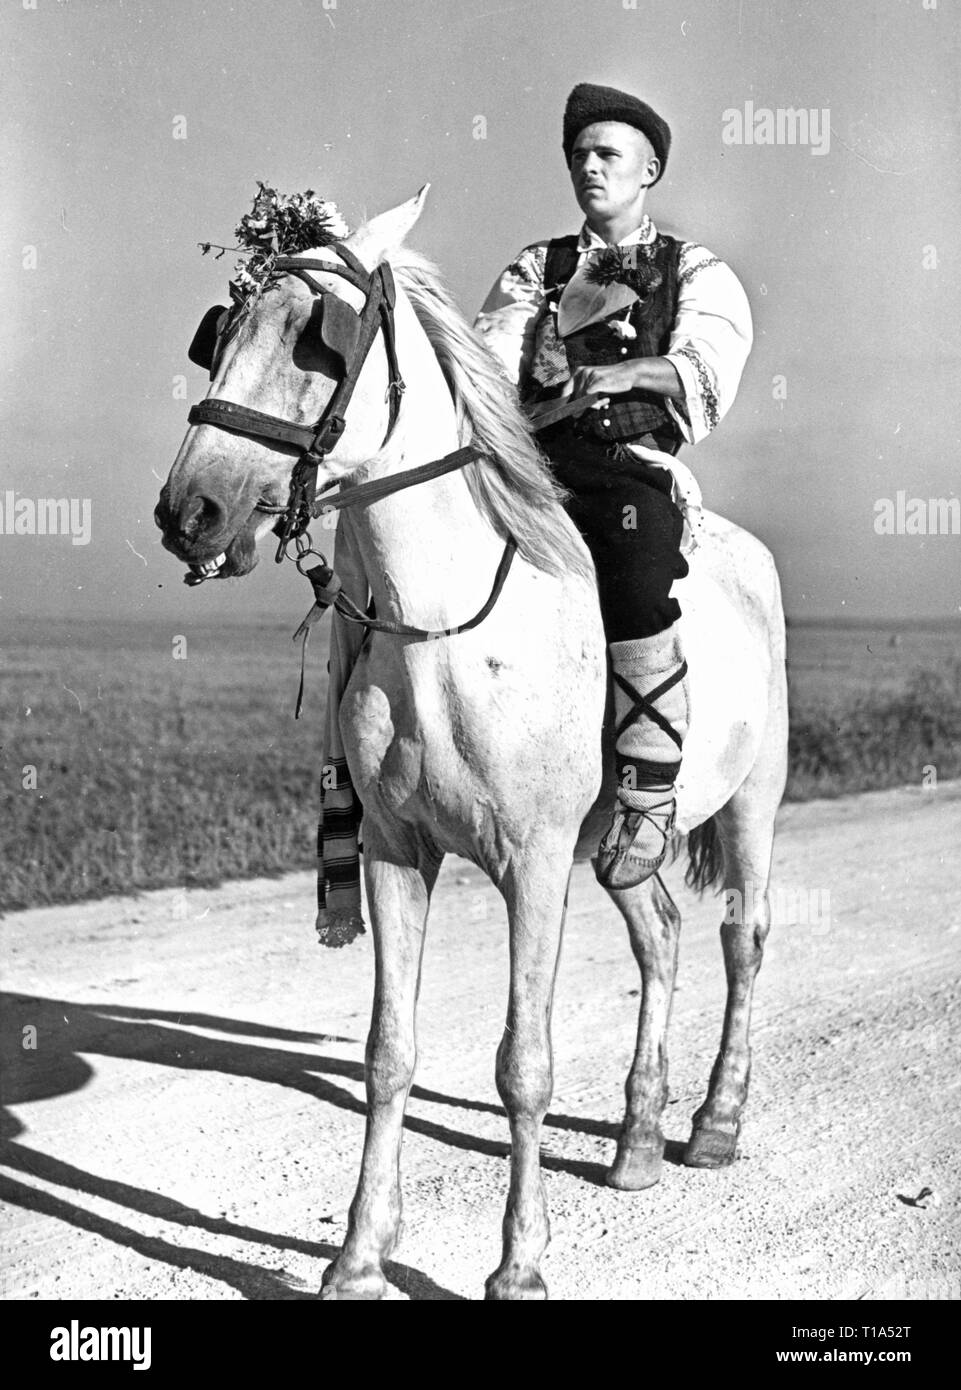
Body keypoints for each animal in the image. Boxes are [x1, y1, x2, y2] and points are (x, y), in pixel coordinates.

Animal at [155, 187, 788, 1301]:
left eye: (319, 338)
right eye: (218, 336)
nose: (191, 511)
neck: (441, 629)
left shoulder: (531, 864)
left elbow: (522, 1064)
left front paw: (518, 1262)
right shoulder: (393, 851)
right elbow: (388, 1053)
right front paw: (358, 1256)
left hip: (753, 801)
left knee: (740, 939)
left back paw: (713, 1123)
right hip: (620, 846)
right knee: (662, 933)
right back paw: (635, 1139)